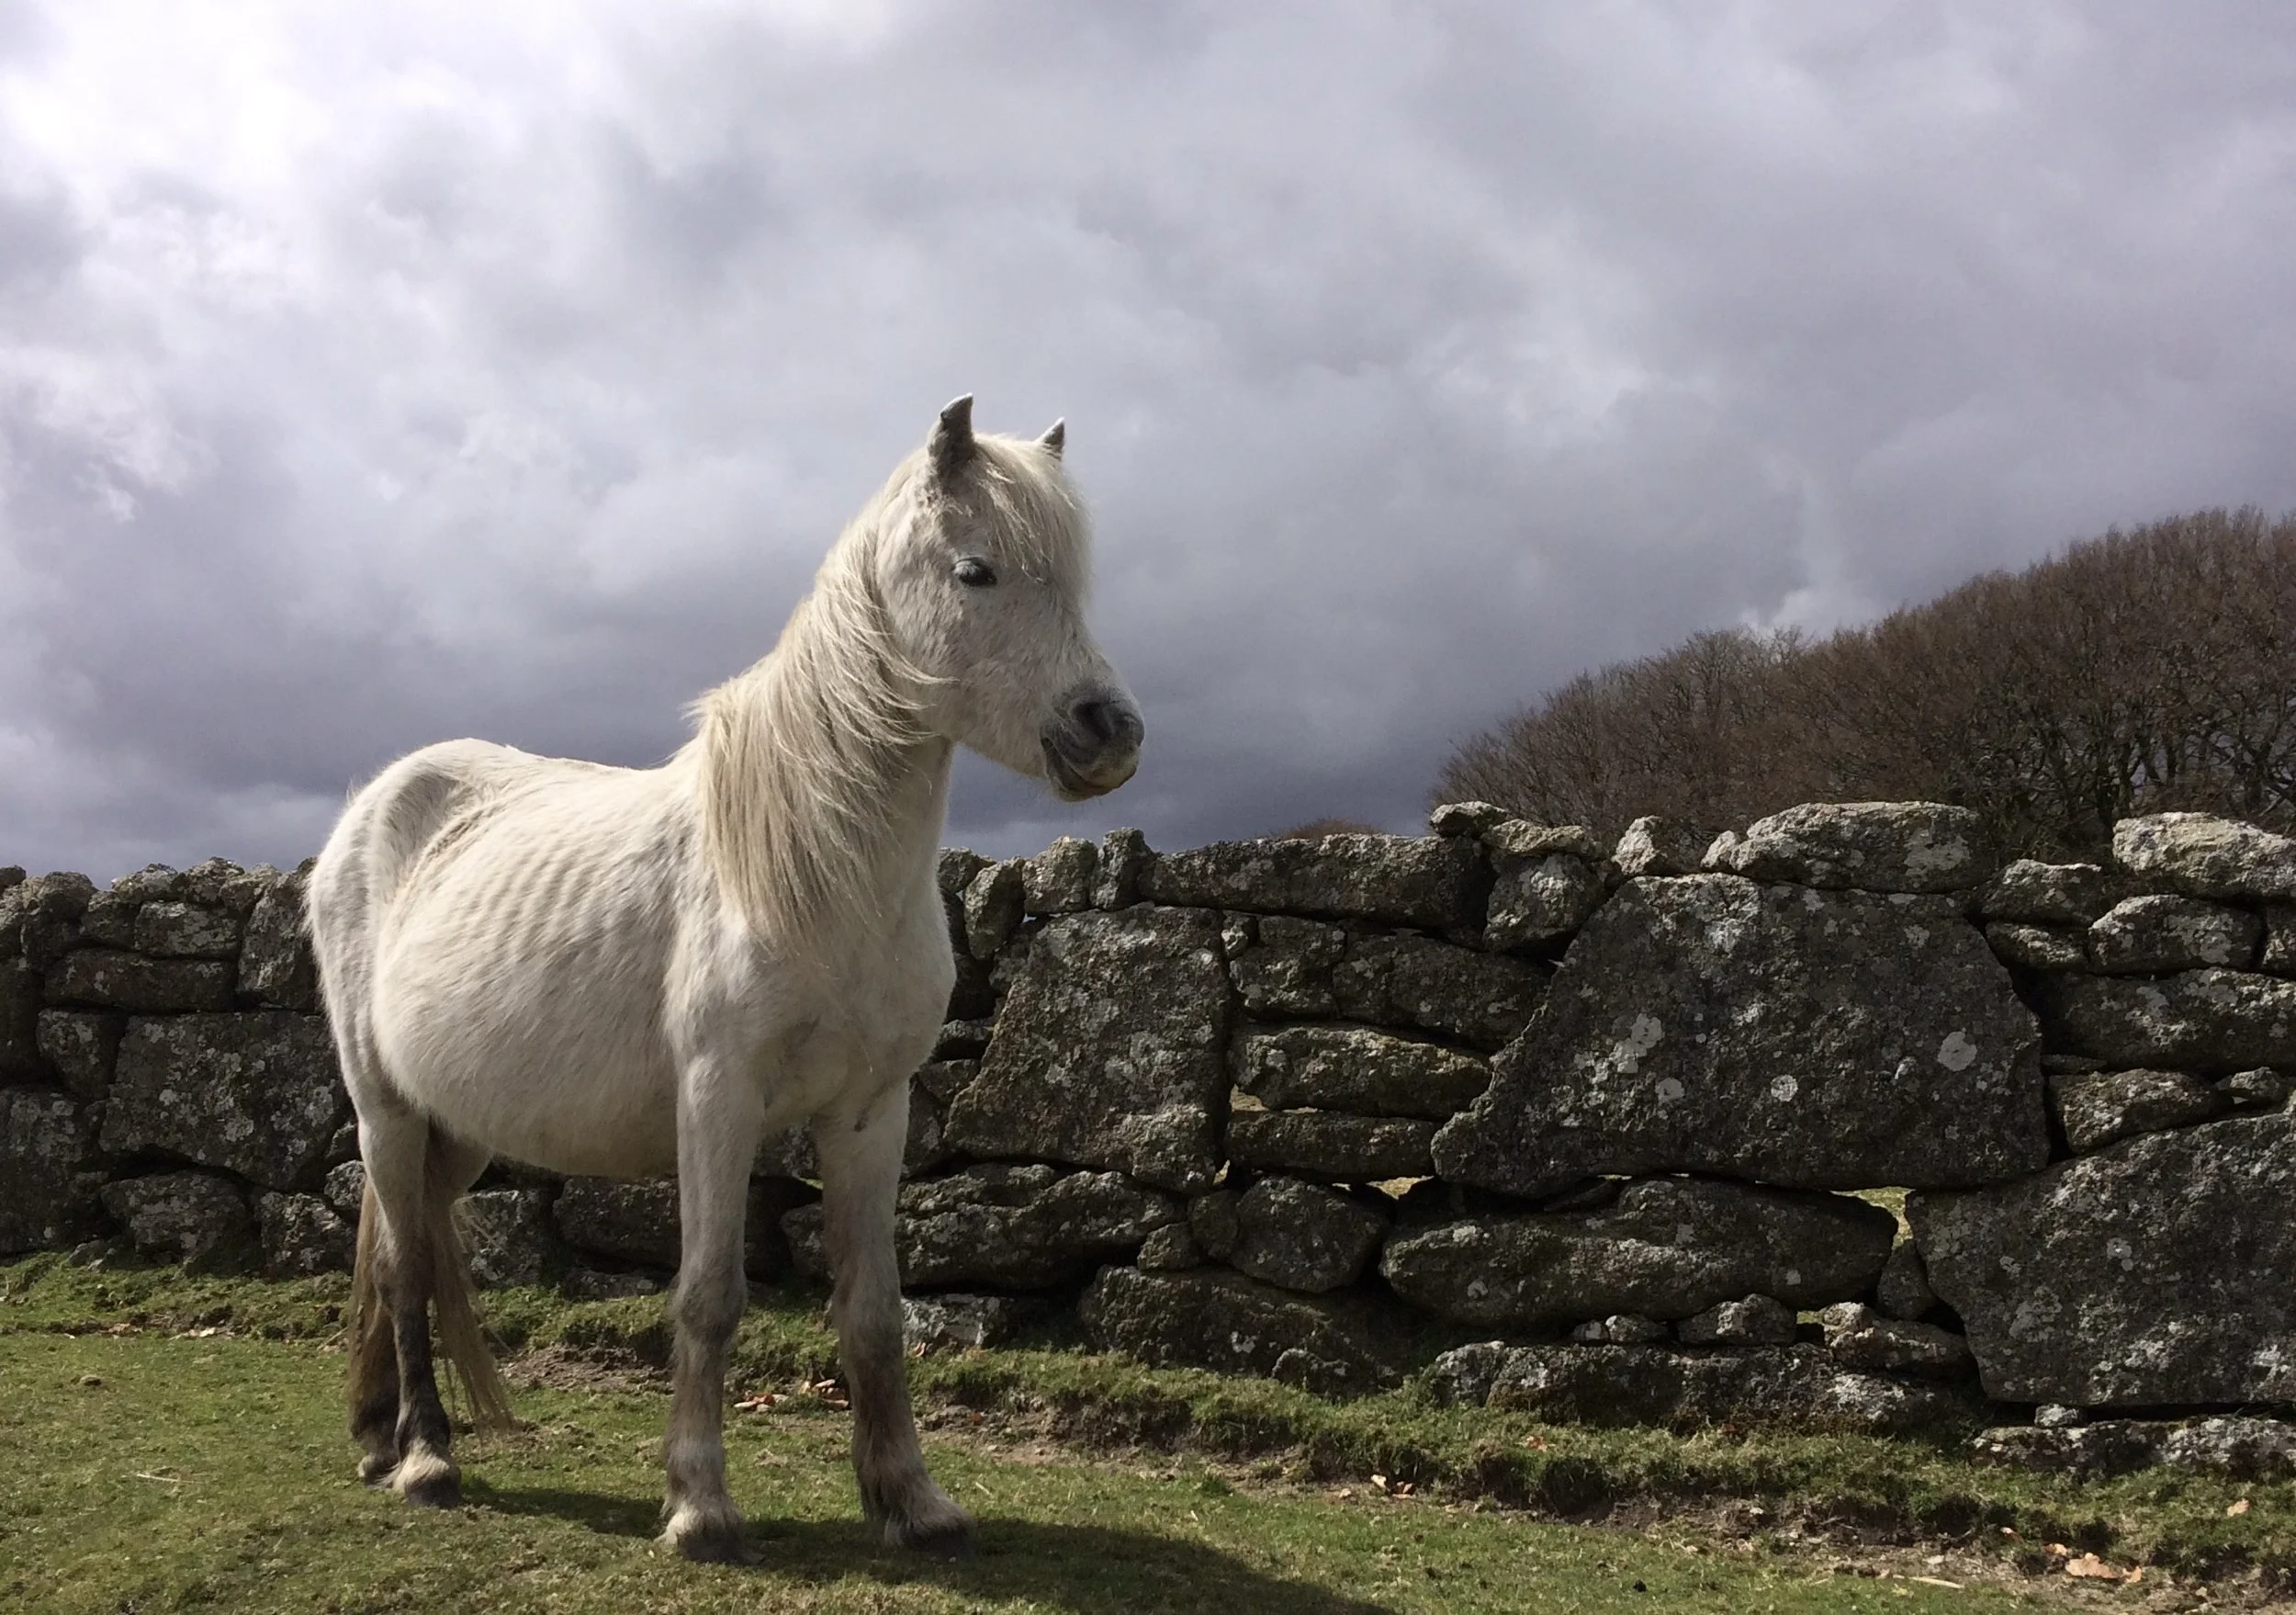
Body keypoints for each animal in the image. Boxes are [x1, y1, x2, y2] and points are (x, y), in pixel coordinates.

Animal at [306, 397, 1143, 1563]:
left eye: (1073, 578)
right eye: (975, 571)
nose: (1108, 733)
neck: (812, 871)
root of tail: (371, 810)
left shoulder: (870, 1114)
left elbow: (874, 1312)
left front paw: (910, 1500)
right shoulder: (718, 1100)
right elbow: (708, 1296)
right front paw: (698, 1503)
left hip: (456, 1130)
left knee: (406, 1250)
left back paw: (380, 1441)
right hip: (385, 1108)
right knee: (407, 1270)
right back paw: (425, 1459)